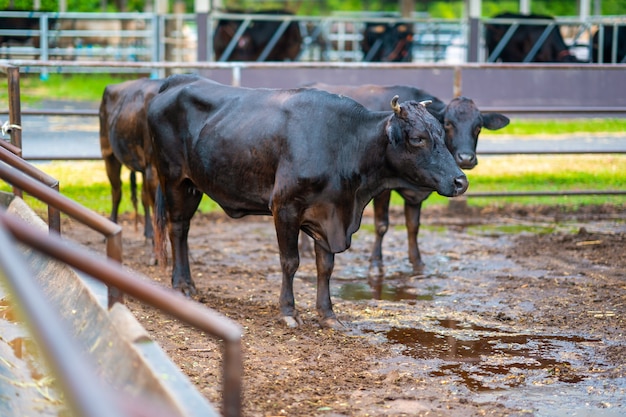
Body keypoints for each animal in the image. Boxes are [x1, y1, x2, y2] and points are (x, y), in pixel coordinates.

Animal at [147, 75, 468, 328]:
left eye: (441, 133)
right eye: (417, 139)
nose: (460, 181)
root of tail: (178, 80)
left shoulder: (329, 213)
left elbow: (325, 266)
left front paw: (328, 315)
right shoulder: (285, 207)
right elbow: (290, 262)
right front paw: (288, 312)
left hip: (192, 186)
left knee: (184, 229)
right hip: (174, 180)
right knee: (178, 229)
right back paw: (182, 285)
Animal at [304, 83, 510, 278]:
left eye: (478, 127)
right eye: (449, 124)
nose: (466, 158)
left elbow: (413, 225)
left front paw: (417, 262)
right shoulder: (382, 189)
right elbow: (381, 225)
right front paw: (376, 264)